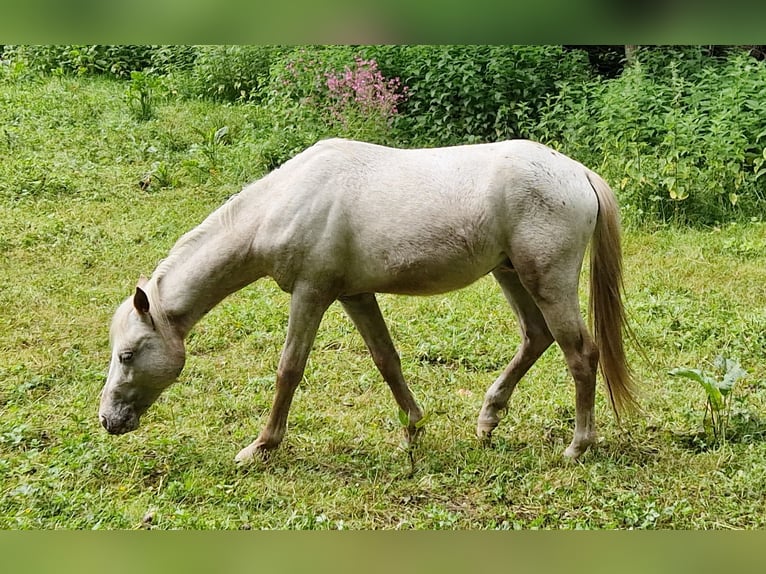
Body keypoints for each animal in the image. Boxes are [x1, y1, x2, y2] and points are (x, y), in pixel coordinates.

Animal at [99, 137, 640, 466]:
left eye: (126, 356)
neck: (287, 202)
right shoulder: (354, 294)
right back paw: (487, 422)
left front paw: (261, 447)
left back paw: (577, 447)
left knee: (580, 353)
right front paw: (412, 430)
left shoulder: (312, 293)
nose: (108, 421)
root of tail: (578, 173)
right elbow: (386, 360)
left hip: (546, 280)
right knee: (536, 336)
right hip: (511, 275)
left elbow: (289, 370)